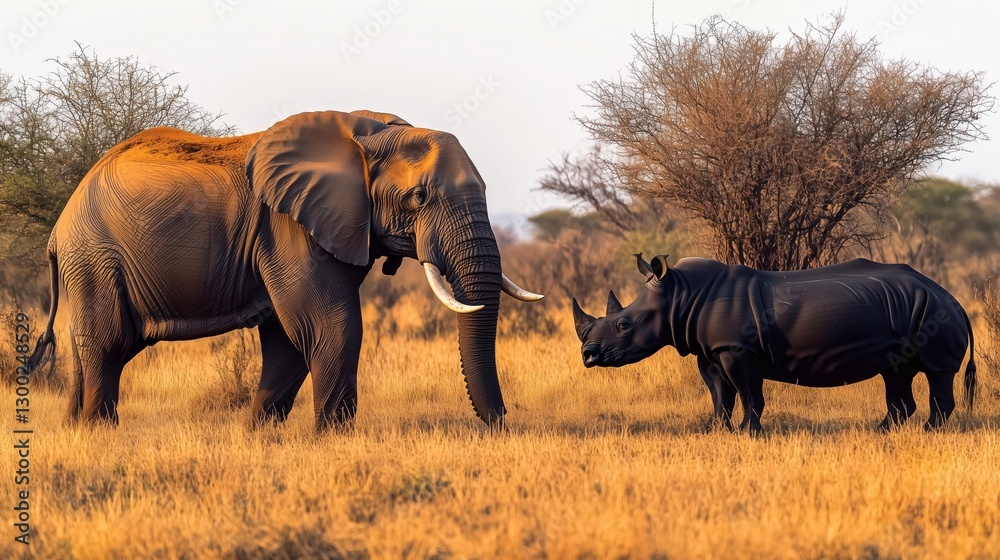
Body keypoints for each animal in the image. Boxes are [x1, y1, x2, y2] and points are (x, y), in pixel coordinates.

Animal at [25, 109, 542, 431]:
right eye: (419, 197)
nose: (501, 424)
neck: (370, 133)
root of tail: (57, 228)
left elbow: (288, 340)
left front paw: (259, 435)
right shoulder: (289, 226)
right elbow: (330, 325)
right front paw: (332, 439)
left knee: (93, 347)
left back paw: (75, 429)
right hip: (96, 257)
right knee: (107, 344)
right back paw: (100, 433)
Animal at [572, 254, 976, 434]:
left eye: (624, 324)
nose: (588, 356)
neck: (679, 296)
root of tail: (954, 298)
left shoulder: (738, 349)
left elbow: (749, 394)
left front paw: (749, 433)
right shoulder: (711, 350)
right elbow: (719, 394)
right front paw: (714, 430)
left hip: (934, 312)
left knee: (937, 373)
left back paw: (929, 432)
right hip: (912, 310)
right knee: (897, 372)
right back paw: (880, 432)